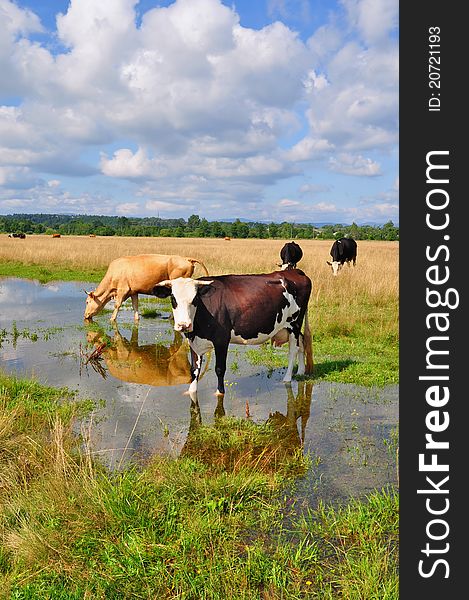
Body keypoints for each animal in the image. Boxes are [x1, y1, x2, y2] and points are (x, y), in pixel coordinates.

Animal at [154, 270, 312, 396]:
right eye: (173, 299)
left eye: (195, 299)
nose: (184, 325)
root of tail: (294, 272)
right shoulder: (193, 341)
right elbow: (194, 370)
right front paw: (191, 392)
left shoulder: (221, 340)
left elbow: (219, 369)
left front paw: (219, 393)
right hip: (292, 327)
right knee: (302, 342)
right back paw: (301, 371)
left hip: (294, 323)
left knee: (293, 349)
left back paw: (287, 378)